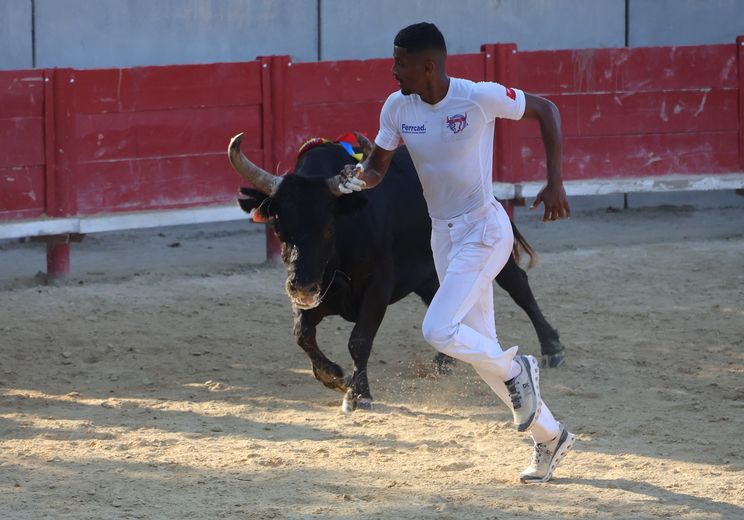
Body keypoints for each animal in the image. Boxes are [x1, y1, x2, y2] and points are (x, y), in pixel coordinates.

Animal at [232, 136, 564, 412]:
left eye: (328, 227)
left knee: (519, 286)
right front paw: (336, 377)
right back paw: (445, 360)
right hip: (429, 275)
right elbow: (302, 334)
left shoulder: (378, 286)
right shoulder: (315, 295)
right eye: (278, 226)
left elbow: (359, 339)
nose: (301, 286)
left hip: (495, 253)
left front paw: (359, 394)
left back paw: (552, 348)